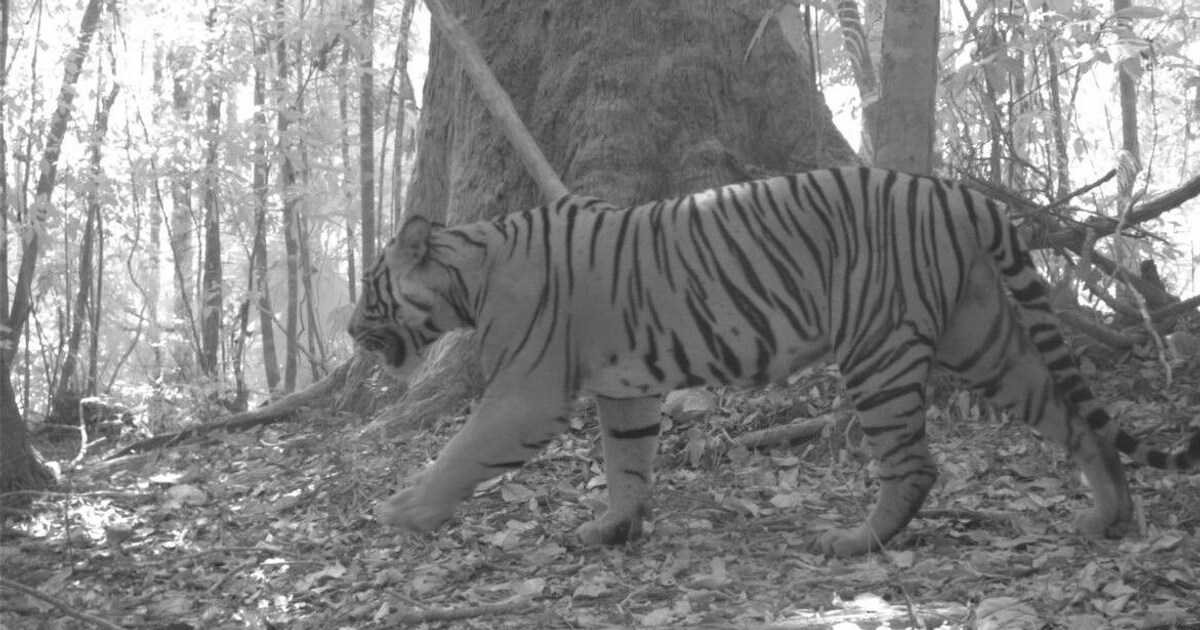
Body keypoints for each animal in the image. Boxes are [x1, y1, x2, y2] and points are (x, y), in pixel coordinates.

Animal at [348, 167, 1200, 556]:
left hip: (878, 351)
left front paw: (402, 512)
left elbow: (462, 452)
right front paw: (613, 528)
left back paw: (855, 541)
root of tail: (956, 192)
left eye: (372, 292)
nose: (352, 330)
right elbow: (627, 463)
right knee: (1072, 418)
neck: (469, 273)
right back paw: (1106, 516)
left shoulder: (525, 392)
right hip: (984, 339)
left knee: (914, 463)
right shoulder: (626, 389)